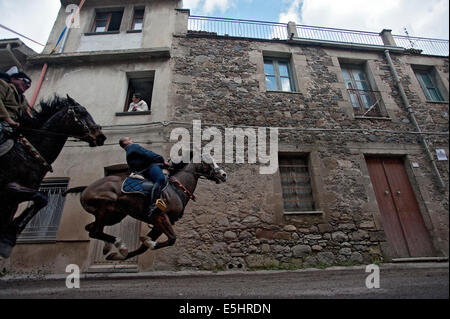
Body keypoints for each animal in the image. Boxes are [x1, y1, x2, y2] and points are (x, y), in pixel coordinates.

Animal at [0, 95, 106, 260]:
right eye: (81, 111)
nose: (100, 136)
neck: (28, 152)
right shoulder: (8, 187)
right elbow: (43, 198)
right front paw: (9, 236)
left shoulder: (13, 197)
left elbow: (40, 200)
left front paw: (8, 237)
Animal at [63, 154, 227, 262]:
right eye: (208, 161)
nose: (224, 174)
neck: (176, 189)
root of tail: (86, 188)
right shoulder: (160, 217)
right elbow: (171, 239)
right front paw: (147, 242)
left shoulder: (160, 224)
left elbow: (143, 248)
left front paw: (120, 255)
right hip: (106, 209)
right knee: (96, 231)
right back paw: (119, 244)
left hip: (114, 216)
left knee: (92, 230)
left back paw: (111, 247)